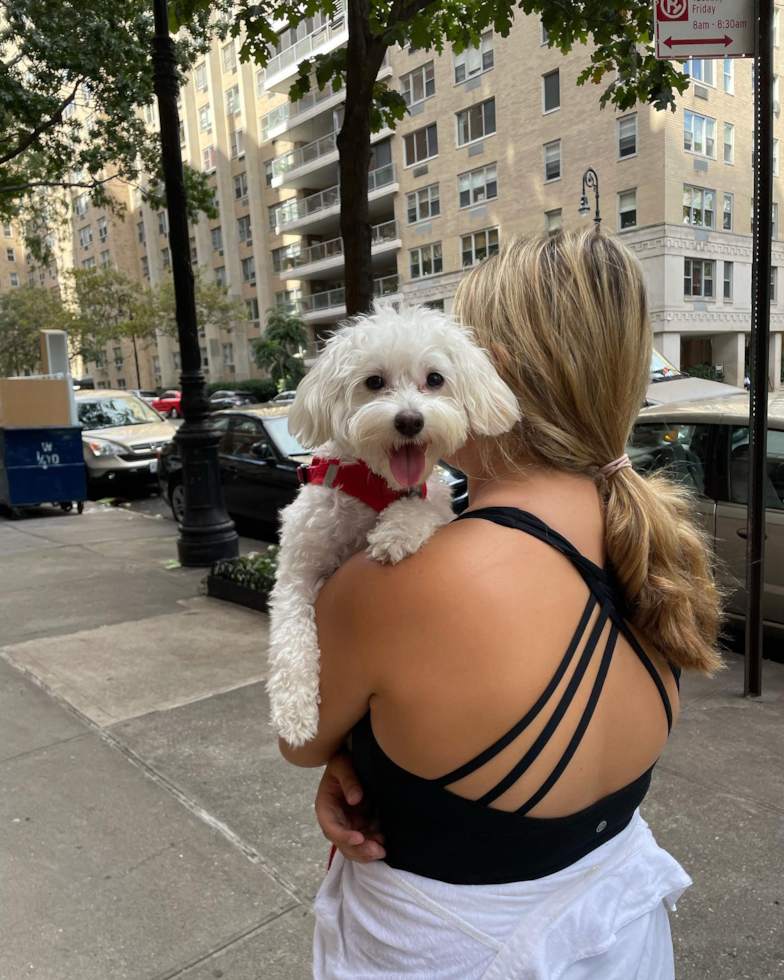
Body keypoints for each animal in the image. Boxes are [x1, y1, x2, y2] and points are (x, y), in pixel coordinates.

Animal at [264, 302, 520, 748]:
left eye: (434, 379)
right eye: (374, 381)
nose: (409, 421)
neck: (377, 486)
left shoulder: (432, 501)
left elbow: (421, 509)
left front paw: (395, 533)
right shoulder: (297, 569)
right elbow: (291, 634)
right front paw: (293, 711)